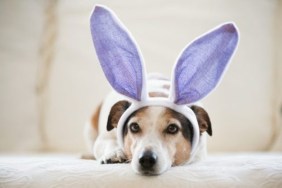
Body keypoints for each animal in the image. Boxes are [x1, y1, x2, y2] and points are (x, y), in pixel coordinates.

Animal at [85, 4, 239, 176]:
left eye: (172, 128)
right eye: (134, 127)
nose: (146, 159)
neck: (158, 94)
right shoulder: (105, 137)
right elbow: (107, 143)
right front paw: (115, 153)